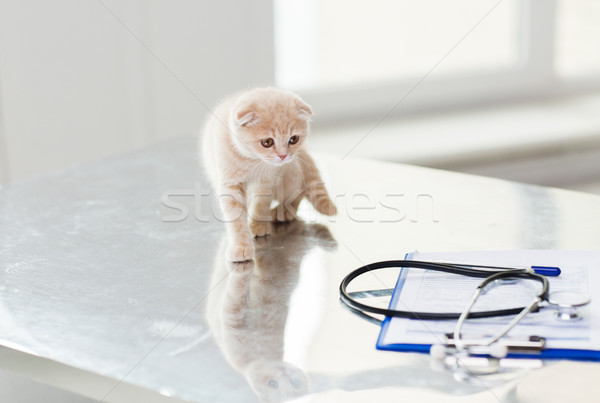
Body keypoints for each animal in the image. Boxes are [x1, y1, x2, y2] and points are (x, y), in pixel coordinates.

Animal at [200, 87, 332, 264]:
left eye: (293, 139)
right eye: (267, 142)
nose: (283, 156)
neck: (251, 161)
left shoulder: (267, 181)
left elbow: (260, 204)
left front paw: (258, 225)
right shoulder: (229, 185)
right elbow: (236, 219)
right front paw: (241, 246)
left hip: (291, 174)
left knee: (299, 193)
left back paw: (283, 212)